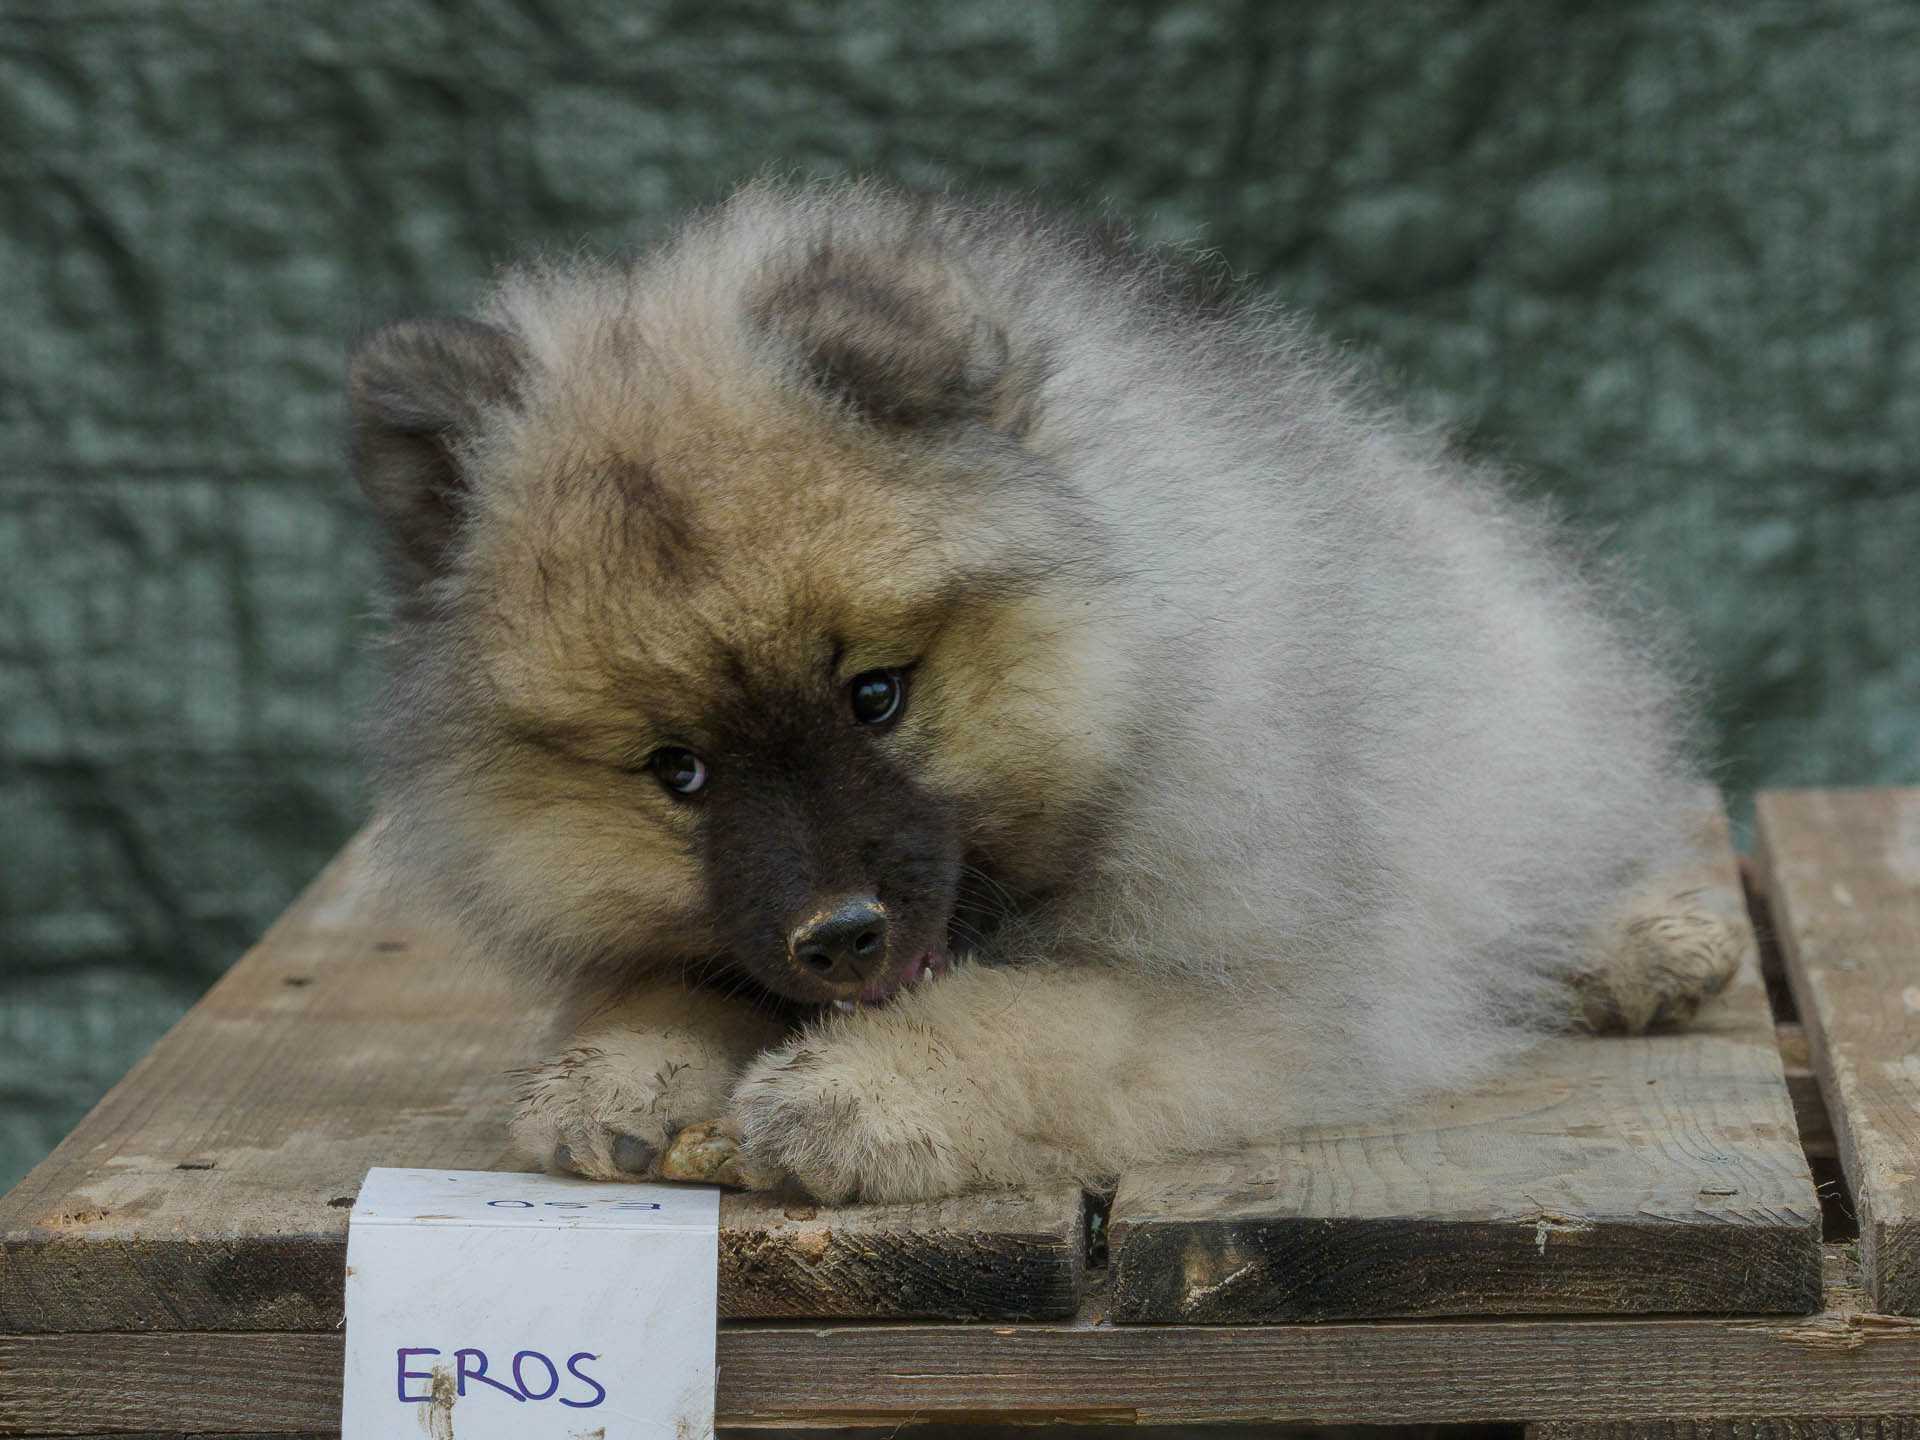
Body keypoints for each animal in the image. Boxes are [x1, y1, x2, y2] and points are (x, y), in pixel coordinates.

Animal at [349, 177, 1743, 1205]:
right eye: (677, 771)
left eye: (875, 697)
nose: (840, 937)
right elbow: (666, 976)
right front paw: (617, 1070)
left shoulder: (1247, 992)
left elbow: (1037, 1020)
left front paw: (861, 1090)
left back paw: (1640, 946)